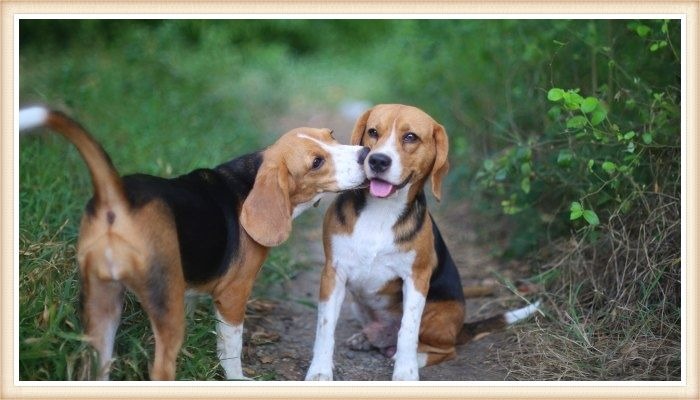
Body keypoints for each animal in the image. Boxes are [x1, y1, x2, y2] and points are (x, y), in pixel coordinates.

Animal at [19, 104, 370, 380]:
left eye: (331, 134)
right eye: (316, 162)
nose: (366, 154)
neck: (249, 180)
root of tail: (117, 195)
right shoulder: (233, 294)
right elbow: (230, 347)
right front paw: (237, 379)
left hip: (100, 304)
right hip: (162, 301)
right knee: (160, 370)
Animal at [304, 104, 540, 382]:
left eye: (410, 137)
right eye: (373, 132)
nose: (377, 160)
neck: (381, 212)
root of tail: (461, 328)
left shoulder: (416, 278)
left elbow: (408, 330)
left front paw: (406, 371)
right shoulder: (333, 273)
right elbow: (324, 328)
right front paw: (319, 371)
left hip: (437, 315)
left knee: (444, 350)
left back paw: (414, 357)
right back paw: (366, 338)